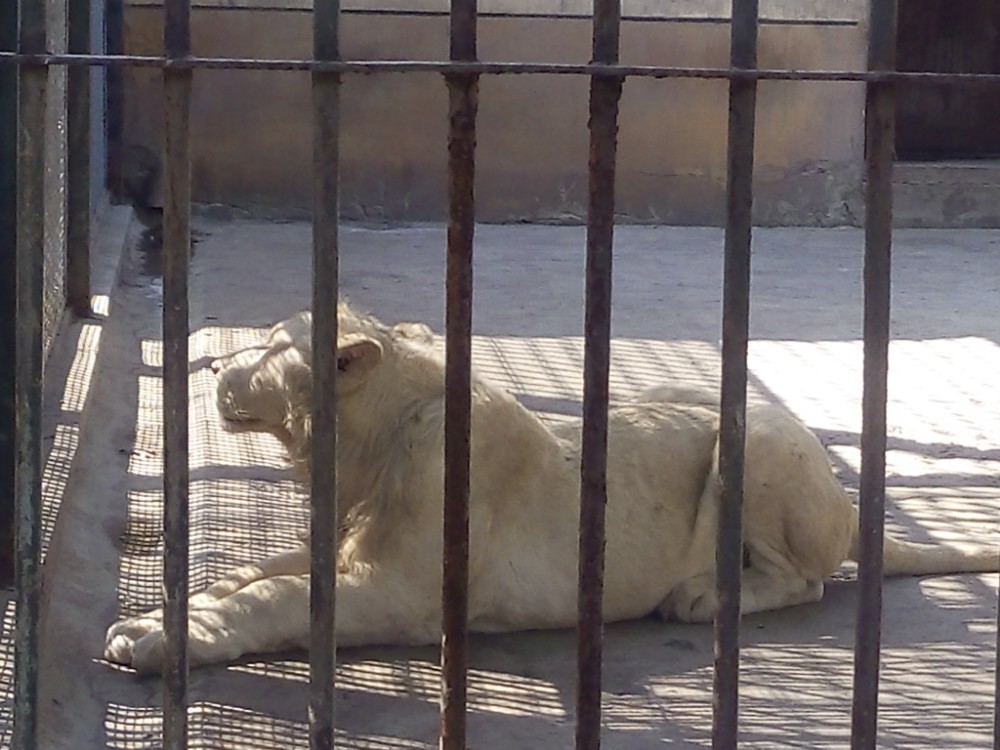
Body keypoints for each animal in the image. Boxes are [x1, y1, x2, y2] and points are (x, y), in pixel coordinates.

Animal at [103, 306, 1000, 676]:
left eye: (266, 346)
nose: (212, 367)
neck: (370, 441)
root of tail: (849, 507)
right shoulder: (348, 549)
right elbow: (243, 577)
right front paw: (154, 620)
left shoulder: (402, 593)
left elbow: (276, 597)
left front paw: (162, 643)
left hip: (758, 436)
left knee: (809, 580)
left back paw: (702, 595)